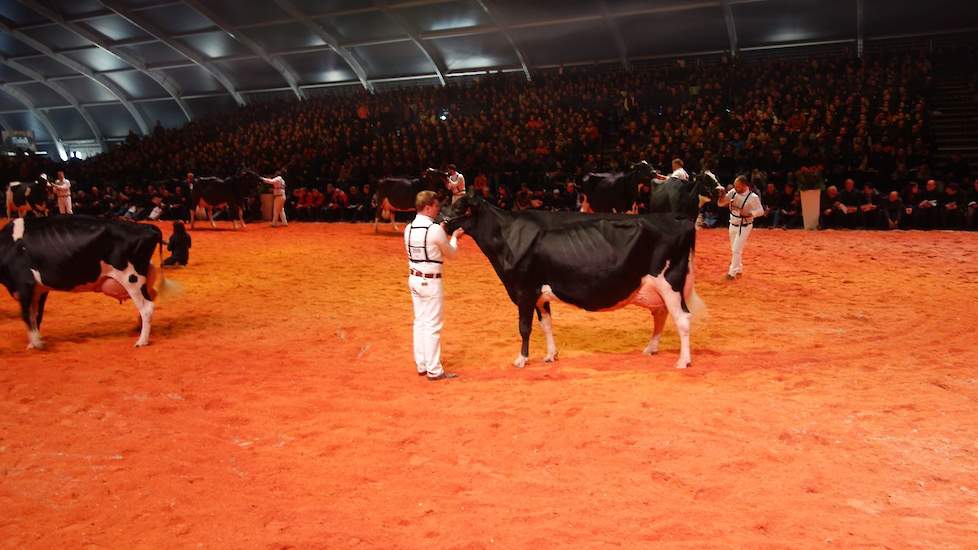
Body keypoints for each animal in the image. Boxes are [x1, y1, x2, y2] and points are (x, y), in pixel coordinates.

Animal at [0, 216, 166, 350]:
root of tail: (147, 226)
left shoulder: (24, 285)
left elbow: (26, 315)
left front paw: (36, 343)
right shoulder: (39, 289)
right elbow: (35, 315)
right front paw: (34, 342)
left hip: (131, 278)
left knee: (147, 307)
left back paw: (141, 341)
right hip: (144, 276)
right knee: (152, 295)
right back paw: (139, 327)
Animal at [442, 193, 700, 370]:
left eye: (459, 207)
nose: (442, 222)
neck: (507, 236)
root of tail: (679, 218)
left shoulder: (524, 290)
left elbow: (524, 327)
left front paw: (521, 359)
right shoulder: (539, 294)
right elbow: (546, 324)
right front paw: (550, 355)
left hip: (670, 282)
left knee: (682, 319)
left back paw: (683, 361)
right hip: (656, 288)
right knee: (661, 314)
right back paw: (651, 348)